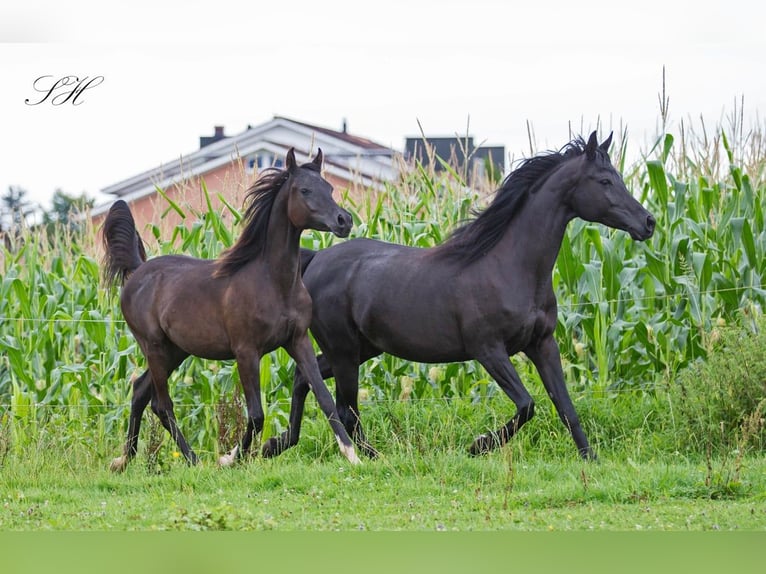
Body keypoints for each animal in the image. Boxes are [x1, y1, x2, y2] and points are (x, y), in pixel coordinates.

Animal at [103, 148, 364, 472]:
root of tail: (138, 271)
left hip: (176, 351)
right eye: (305, 190)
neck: (273, 283)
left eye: (328, 188)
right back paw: (193, 461)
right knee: (161, 404)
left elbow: (325, 398)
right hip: (153, 347)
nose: (344, 220)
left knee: (139, 392)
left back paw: (123, 460)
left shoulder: (298, 341)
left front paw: (352, 455)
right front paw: (230, 457)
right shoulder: (246, 352)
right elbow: (257, 414)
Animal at [262, 132, 656, 464]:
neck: (510, 267)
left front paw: (591, 460)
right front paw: (478, 445)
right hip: (344, 351)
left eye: (618, 177)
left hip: (360, 349)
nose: (648, 223)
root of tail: (316, 259)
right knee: (344, 407)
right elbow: (527, 405)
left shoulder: (543, 344)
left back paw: (276, 444)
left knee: (304, 379)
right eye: (604, 181)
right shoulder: (488, 350)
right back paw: (372, 458)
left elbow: (565, 406)